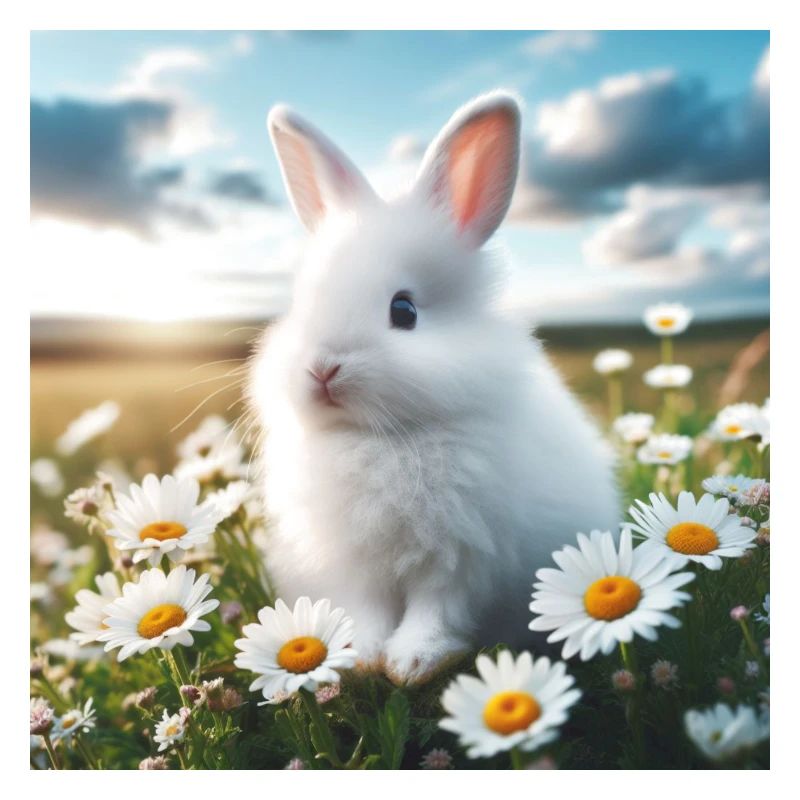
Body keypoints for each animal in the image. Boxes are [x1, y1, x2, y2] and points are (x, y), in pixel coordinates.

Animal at [248, 90, 620, 685]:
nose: (322, 369)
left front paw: (413, 663)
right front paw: (357, 658)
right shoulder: (355, 565)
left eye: (404, 310)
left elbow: (435, 611)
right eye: (301, 305)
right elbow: (369, 611)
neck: (378, 439)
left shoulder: (461, 557)